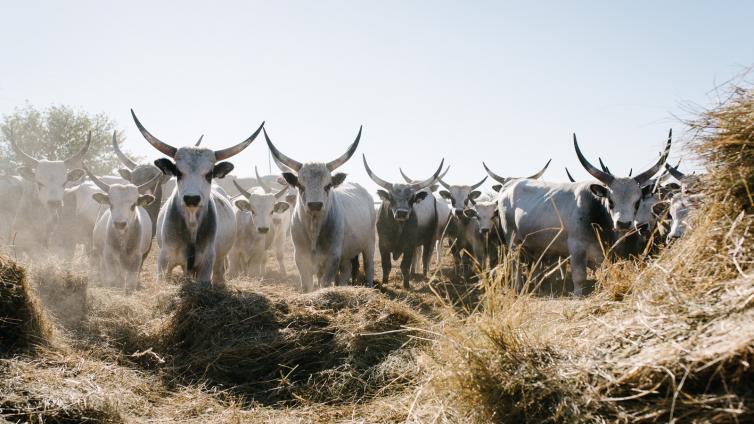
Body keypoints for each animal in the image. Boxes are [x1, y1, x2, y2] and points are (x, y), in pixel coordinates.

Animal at [132, 111, 264, 286]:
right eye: (178, 172)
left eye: (209, 174)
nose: (192, 198)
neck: (191, 223)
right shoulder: (164, 260)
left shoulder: (206, 263)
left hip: (220, 261)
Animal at [362, 156, 444, 288]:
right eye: (391, 197)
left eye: (412, 198)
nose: (402, 213)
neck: (398, 228)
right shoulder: (383, 244)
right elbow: (386, 266)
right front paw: (385, 283)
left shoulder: (409, 245)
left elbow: (405, 265)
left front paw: (406, 285)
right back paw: (413, 273)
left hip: (430, 239)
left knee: (426, 257)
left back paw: (424, 276)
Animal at [496, 132, 668, 294]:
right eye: (611, 201)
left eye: (637, 202)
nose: (623, 223)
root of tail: (511, 184)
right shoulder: (576, 248)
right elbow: (579, 278)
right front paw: (578, 294)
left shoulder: (602, 254)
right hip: (512, 242)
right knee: (515, 266)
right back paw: (518, 288)